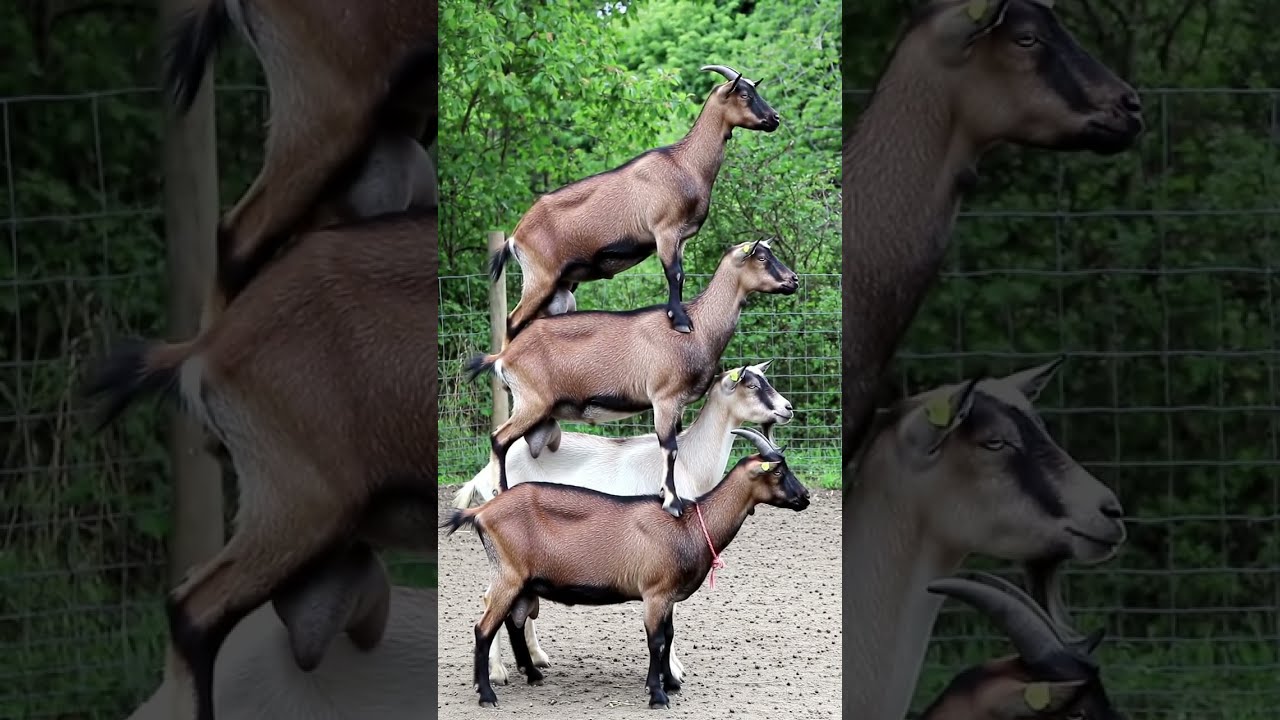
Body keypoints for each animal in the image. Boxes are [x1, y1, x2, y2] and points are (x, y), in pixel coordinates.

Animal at [441, 428, 811, 709]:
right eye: (778, 471)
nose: (806, 497)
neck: (688, 526)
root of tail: (481, 512)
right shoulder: (655, 593)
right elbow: (656, 640)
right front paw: (658, 694)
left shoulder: (668, 596)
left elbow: (669, 635)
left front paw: (670, 682)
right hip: (509, 575)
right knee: (483, 628)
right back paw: (487, 693)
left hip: (524, 581)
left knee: (514, 622)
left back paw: (532, 675)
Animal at [465, 239, 798, 518]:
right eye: (762, 257)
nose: (793, 280)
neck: (697, 327)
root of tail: (502, 359)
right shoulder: (663, 398)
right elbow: (669, 448)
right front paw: (672, 503)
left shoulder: (677, 405)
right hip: (531, 404)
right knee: (499, 439)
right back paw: (501, 492)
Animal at [490, 63, 780, 342]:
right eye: (745, 95)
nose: (774, 118)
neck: (685, 164)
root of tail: (514, 239)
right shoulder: (665, 230)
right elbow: (674, 274)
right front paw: (681, 321)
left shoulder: (681, 238)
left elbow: (681, 276)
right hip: (540, 278)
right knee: (512, 322)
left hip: (562, 284)